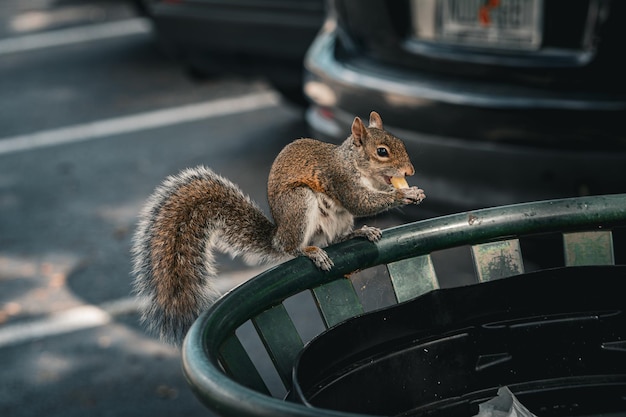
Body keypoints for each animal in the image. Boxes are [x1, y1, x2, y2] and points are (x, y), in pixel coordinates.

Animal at [130, 111, 424, 344]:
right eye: (382, 152)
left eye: (401, 143)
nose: (410, 172)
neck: (355, 165)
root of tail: (277, 234)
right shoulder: (340, 180)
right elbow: (360, 202)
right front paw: (403, 195)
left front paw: (411, 193)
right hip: (299, 203)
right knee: (292, 247)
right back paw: (309, 251)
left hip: (338, 219)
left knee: (335, 239)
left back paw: (361, 231)